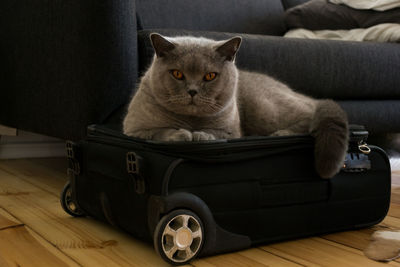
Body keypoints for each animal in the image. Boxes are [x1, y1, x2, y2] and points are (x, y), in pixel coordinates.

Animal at [123, 34, 348, 180]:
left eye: (210, 76)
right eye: (177, 74)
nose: (193, 91)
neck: (191, 120)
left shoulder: (231, 130)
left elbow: (215, 133)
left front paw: (199, 135)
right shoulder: (135, 129)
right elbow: (160, 131)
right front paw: (182, 134)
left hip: (265, 108)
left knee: (309, 113)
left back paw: (280, 133)